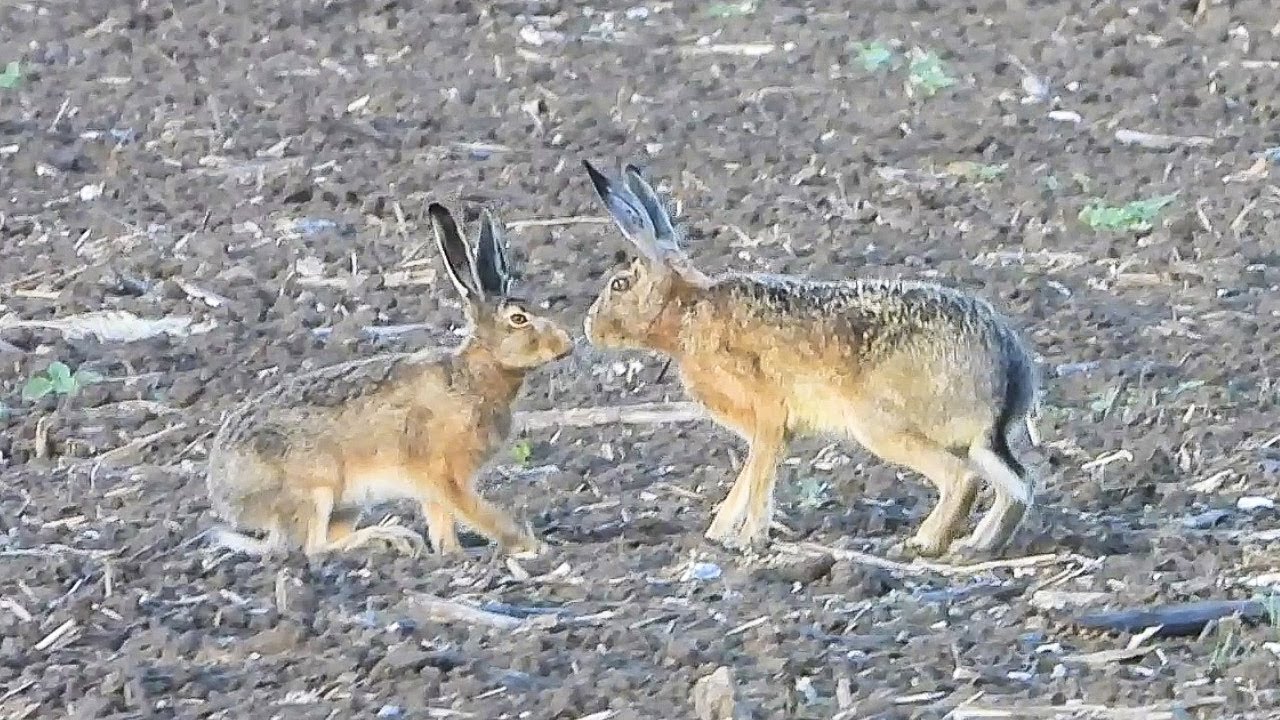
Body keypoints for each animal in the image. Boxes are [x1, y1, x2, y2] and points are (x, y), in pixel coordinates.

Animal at [203, 202, 575, 559]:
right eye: (519, 319)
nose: (567, 344)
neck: (473, 375)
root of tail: (224, 493)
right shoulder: (444, 474)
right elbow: (479, 513)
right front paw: (529, 545)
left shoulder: (434, 488)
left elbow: (442, 524)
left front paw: (453, 553)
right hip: (315, 487)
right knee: (312, 547)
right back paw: (388, 537)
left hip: (346, 503)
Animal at [578, 160, 1041, 562]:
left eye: (619, 285)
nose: (588, 327)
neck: (688, 311)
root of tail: (1004, 364)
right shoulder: (769, 431)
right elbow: (748, 476)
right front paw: (718, 534)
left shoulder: (767, 416)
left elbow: (759, 477)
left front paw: (748, 540)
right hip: (976, 441)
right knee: (1018, 486)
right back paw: (977, 546)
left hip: (881, 424)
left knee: (961, 478)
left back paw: (924, 543)